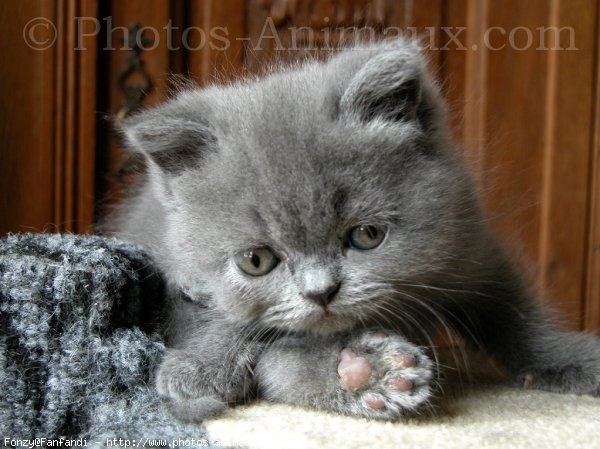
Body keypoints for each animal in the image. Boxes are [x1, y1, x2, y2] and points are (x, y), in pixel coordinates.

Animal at [112, 38, 600, 420]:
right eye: (256, 261)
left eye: (367, 236)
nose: (320, 292)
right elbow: (267, 350)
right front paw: (365, 375)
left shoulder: (473, 251)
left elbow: (517, 315)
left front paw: (572, 360)